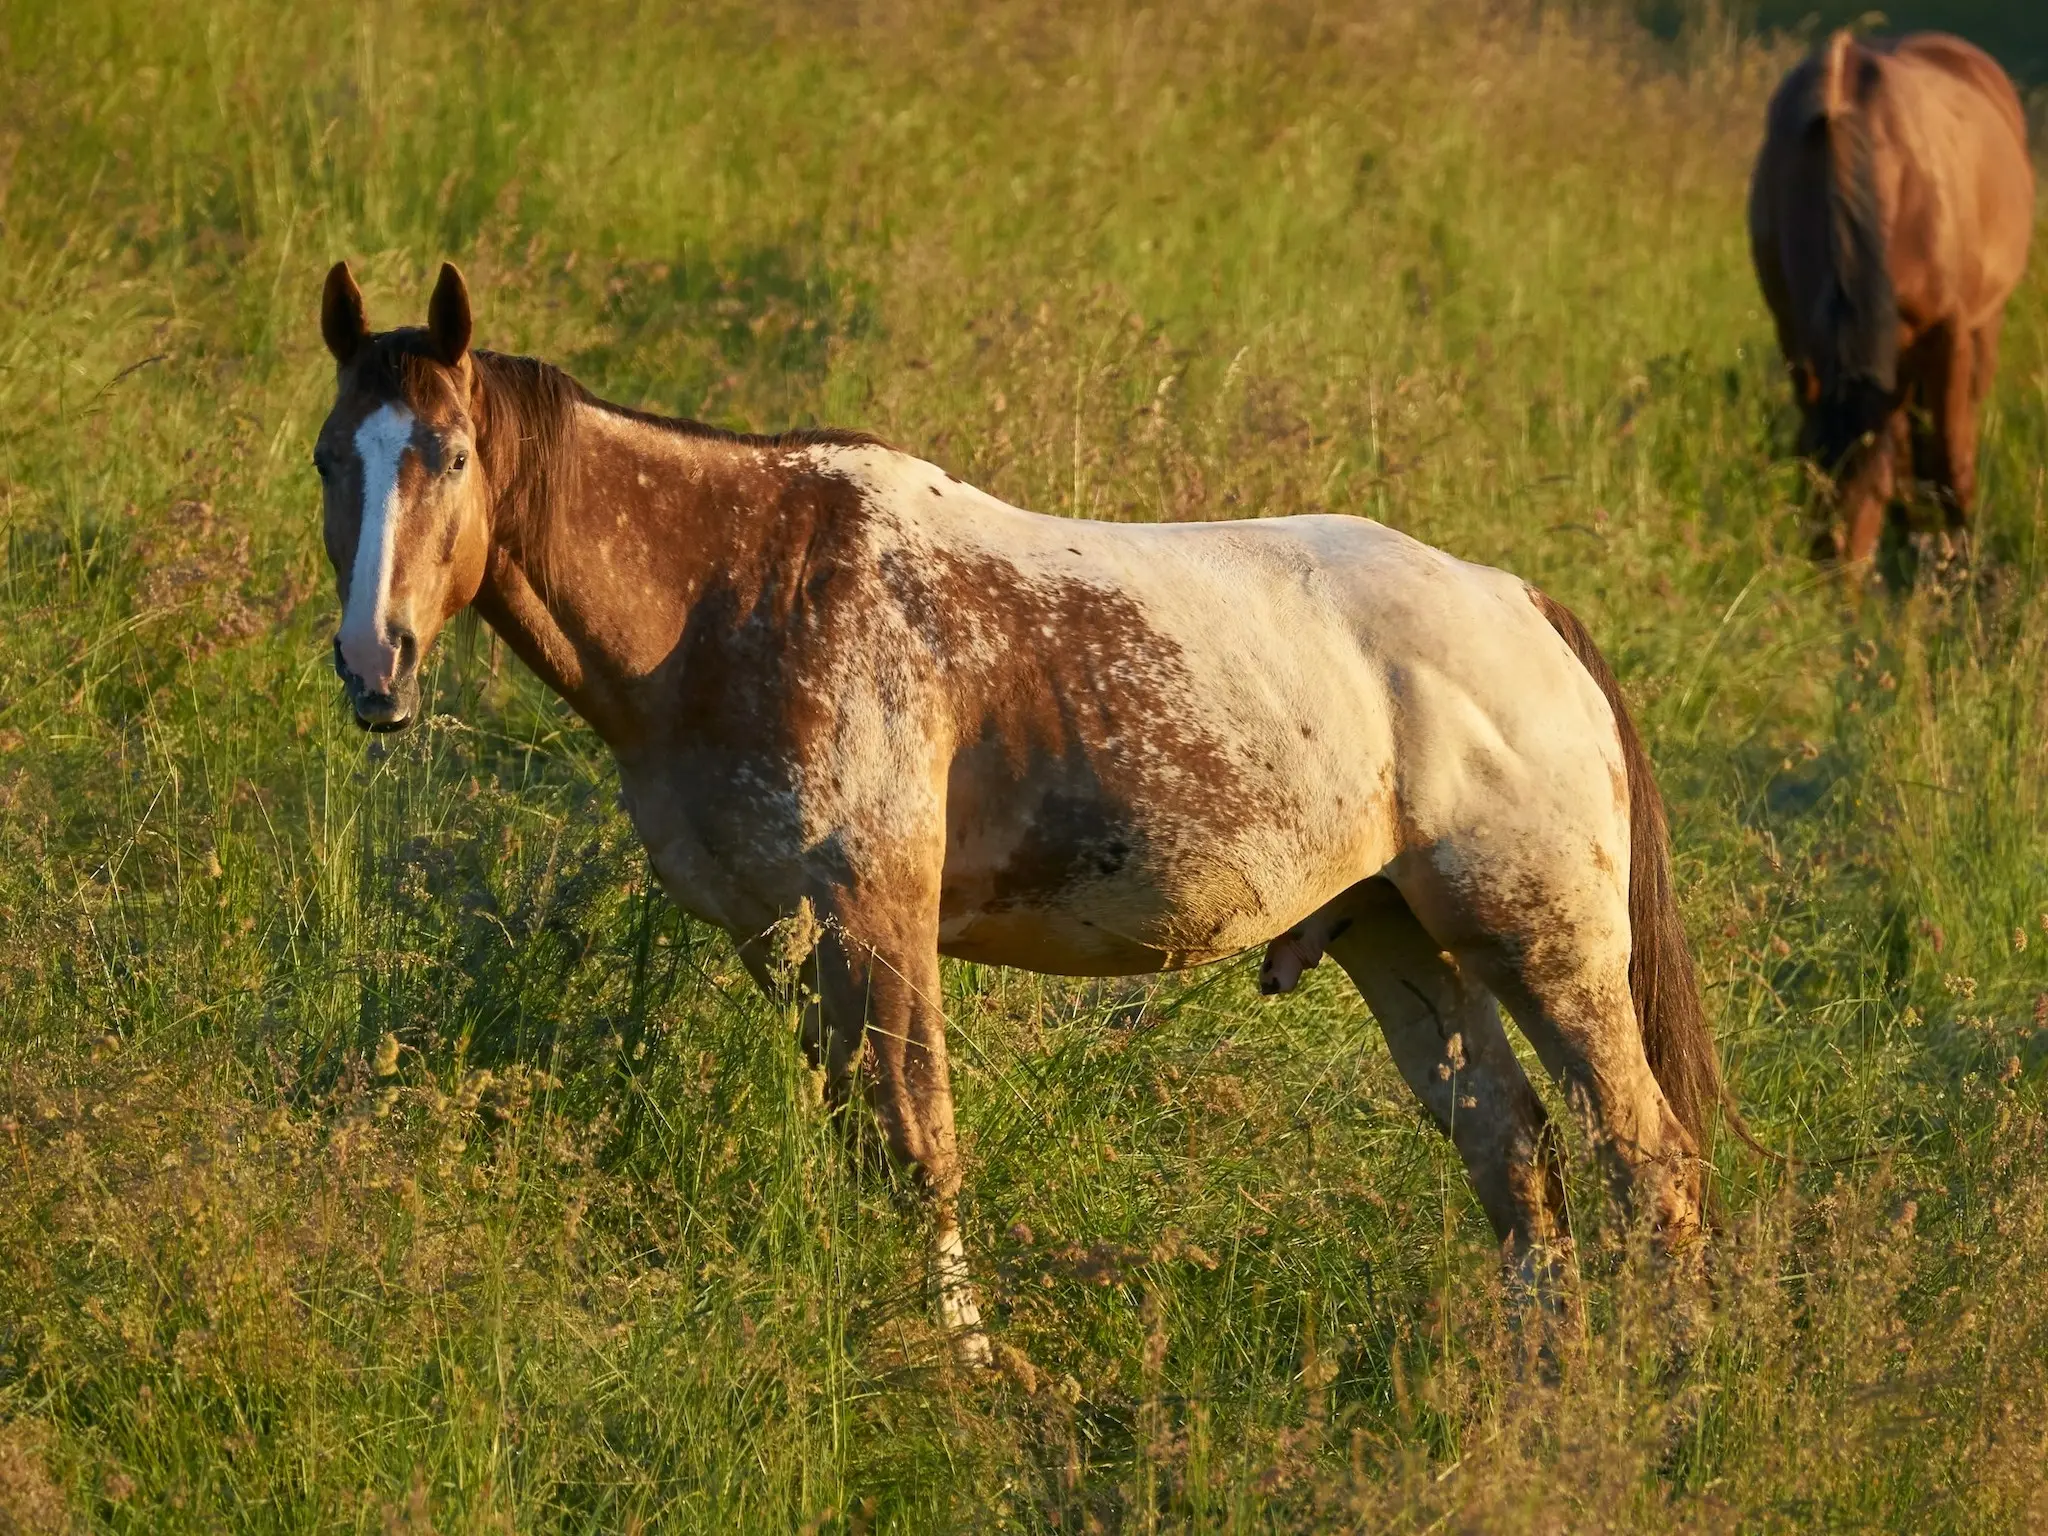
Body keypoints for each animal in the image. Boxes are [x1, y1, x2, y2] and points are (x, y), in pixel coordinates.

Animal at [315, 259, 1728, 1368]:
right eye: (333, 460)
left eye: (449, 457)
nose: (374, 664)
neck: (740, 589)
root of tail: (1521, 607)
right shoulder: (782, 943)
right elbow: (860, 1151)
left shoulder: (875, 923)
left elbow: (916, 1151)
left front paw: (973, 1375)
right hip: (1396, 941)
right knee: (1511, 1149)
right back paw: (1539, 1386)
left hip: (1541, 948)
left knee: (1644, 1158)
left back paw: (1668, 1379)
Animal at [1744, 28, 2031, 573]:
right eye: (1811, 480)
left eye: (1871, 490)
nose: (1835, 577)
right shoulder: (1796, 336)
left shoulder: (1950, 332)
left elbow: (1950, 456)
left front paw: (1961, 557)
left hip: (1984, 325)